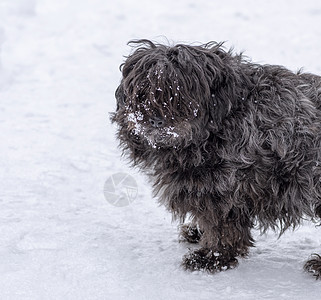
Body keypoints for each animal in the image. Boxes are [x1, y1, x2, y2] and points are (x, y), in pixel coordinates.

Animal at [111, 39, 320, 278]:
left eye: (179, 94)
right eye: (143, 91)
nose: (155, 120)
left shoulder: (223, 188)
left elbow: (222, 227)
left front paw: (213, 257)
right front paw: (199, 234)